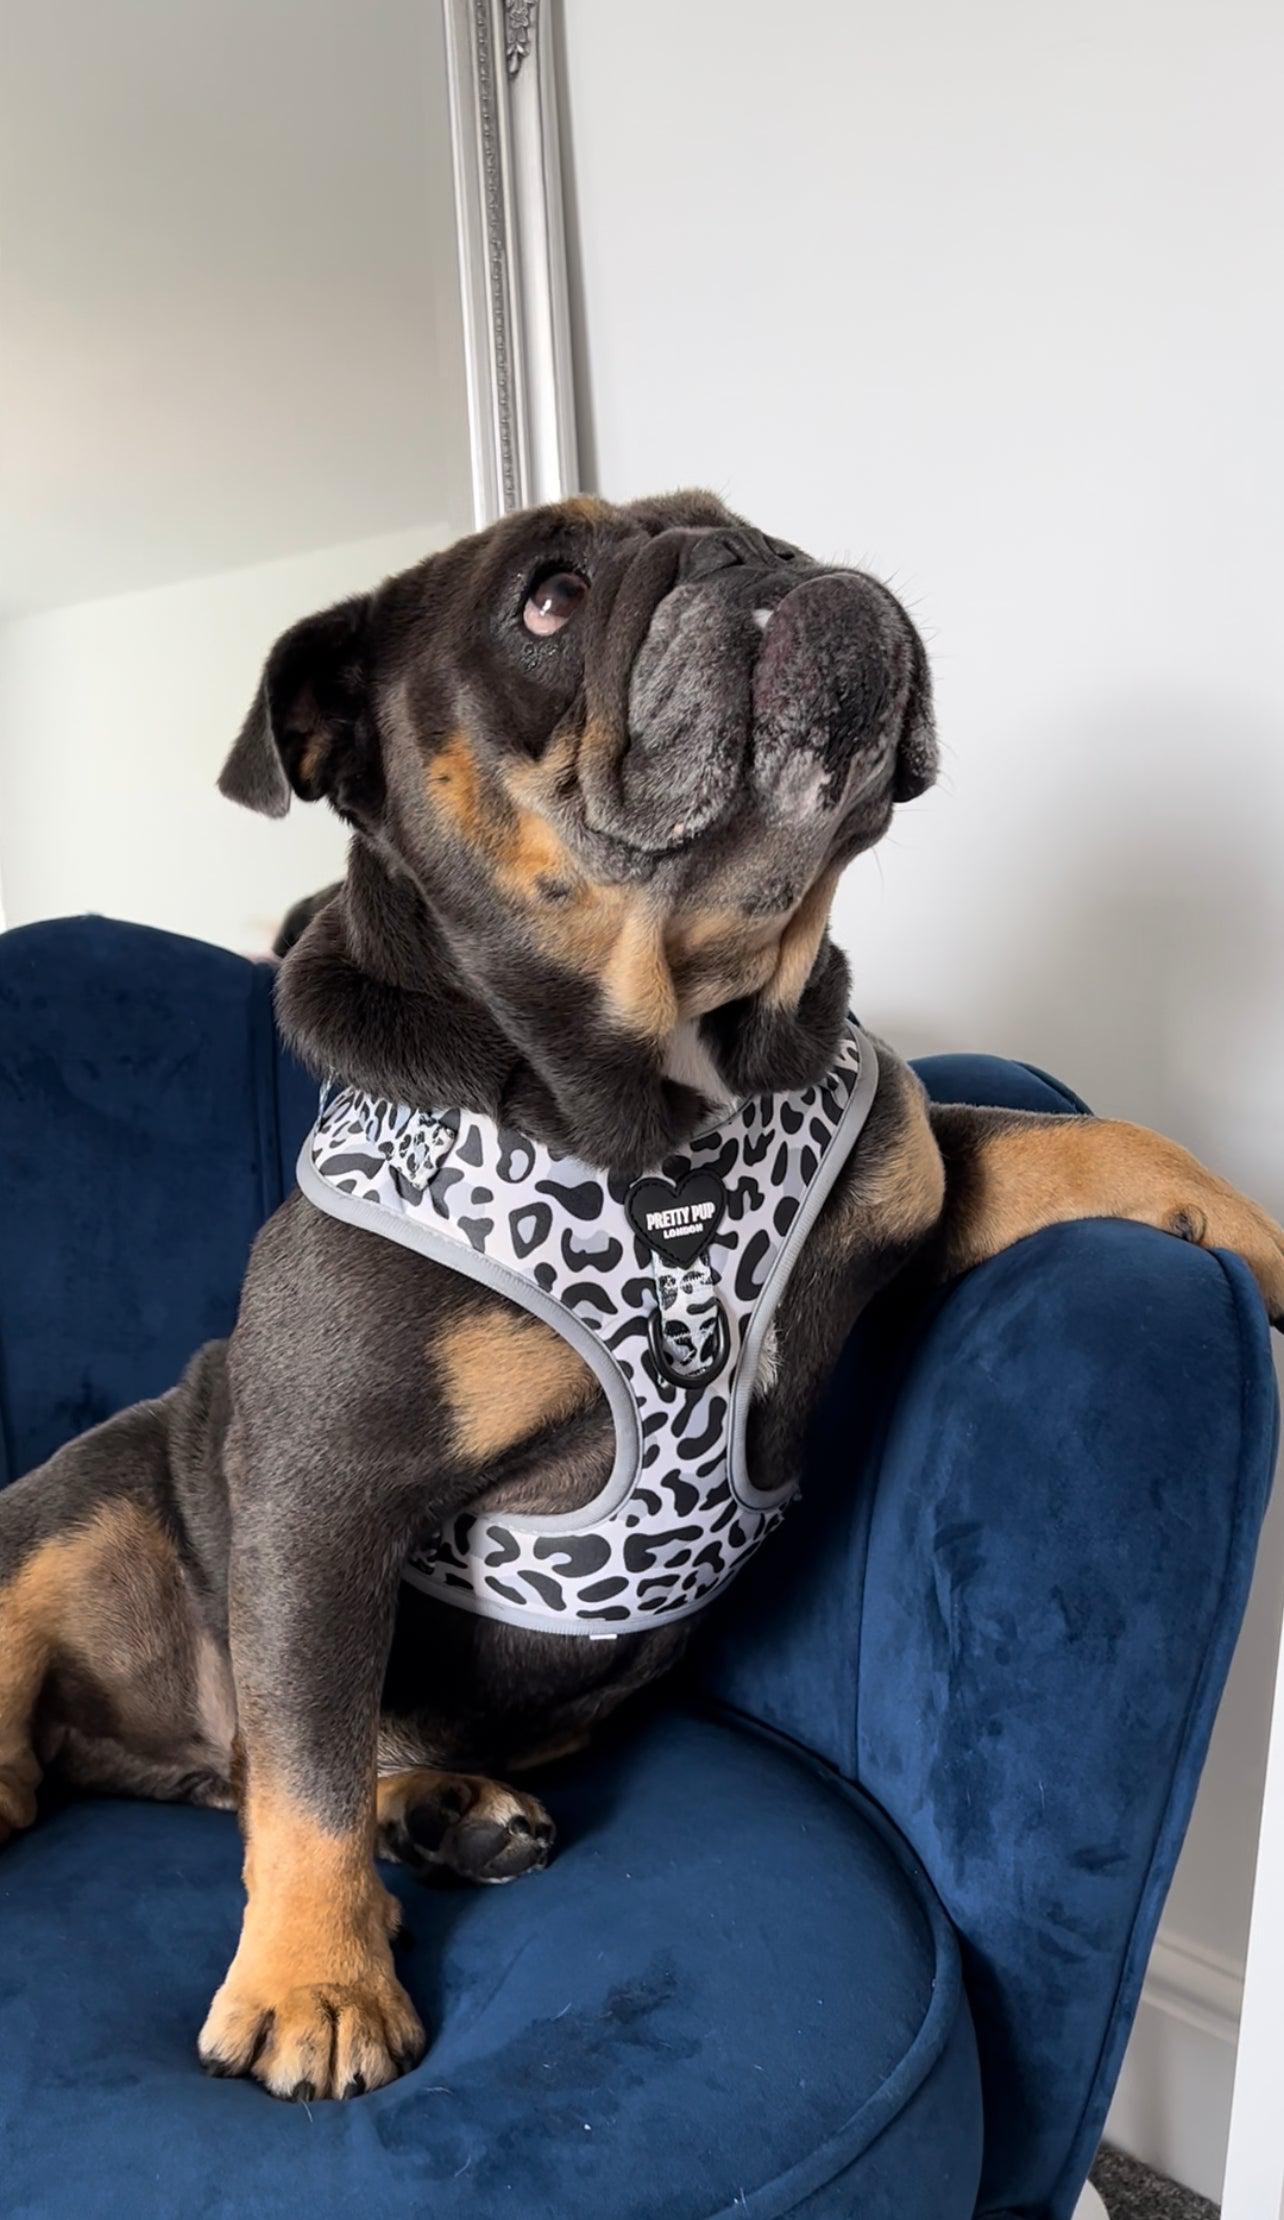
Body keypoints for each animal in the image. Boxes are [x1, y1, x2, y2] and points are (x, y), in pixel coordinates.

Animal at [2, 486, 1279, 2095]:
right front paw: (312, 1979)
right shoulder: (316, 1501)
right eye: (548, 600)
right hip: (78, 1518)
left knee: (298, 1761)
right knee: (255, 1747)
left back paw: (444, 1808)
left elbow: (1057, 1141)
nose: (753, 560)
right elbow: (307, 1762)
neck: (671, 1084)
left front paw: (1242, 1220)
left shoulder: (909, 1188)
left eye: (749, 524)